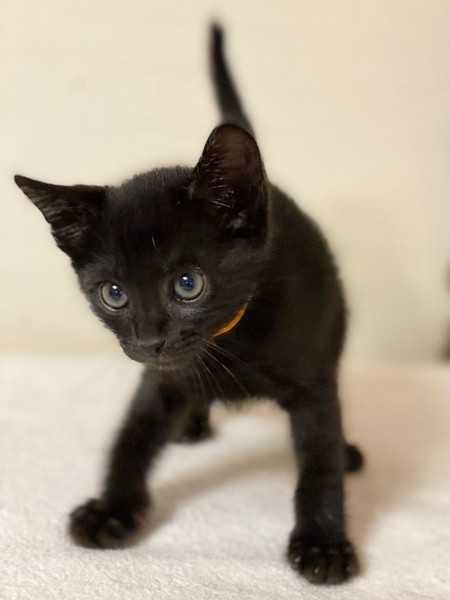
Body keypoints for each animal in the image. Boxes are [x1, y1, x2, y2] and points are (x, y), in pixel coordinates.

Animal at [15, 24, 364, 585]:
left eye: (187, 284)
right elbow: (131, 437)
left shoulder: (312, 380)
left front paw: (324, 542)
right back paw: (192, 423)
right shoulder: (160, 378)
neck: (230, 341)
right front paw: (111, 509)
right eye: (113, 294)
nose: (149, 340)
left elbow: (318, 460)